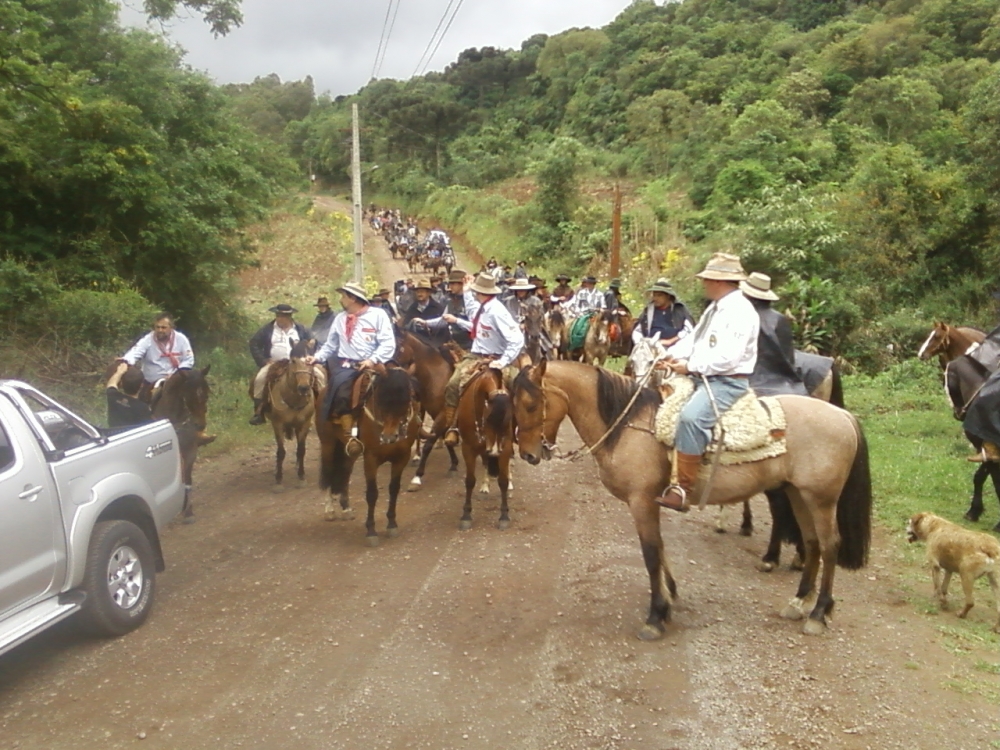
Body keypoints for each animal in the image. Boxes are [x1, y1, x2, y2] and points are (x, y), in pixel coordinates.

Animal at [151, 366, 212, 520]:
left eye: (206, 394)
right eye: (189, 396)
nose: (200, 425)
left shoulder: (190, 449)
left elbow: (187, 477)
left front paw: (188, 509)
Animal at [258, 342, 320, 494]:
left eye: (310, 361)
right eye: (293, 361)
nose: (303, 388)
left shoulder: (304, 424)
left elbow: (301, 450)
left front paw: (301, 477)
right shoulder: (277, 424)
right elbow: (281, 452)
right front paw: (278, 480)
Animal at [314, 366, 420, 548]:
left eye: (407, 399)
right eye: (380, 401)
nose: (389, 437)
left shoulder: (401, 457)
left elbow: (394, 489)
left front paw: (392, 524)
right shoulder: (371, 459)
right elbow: (372, 494)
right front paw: (371, 531)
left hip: (349, 452)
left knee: (345, 472)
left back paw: (346, 509)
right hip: (328, 444)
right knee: (328, 473)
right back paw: (330, 510)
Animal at [394, 330, 464, 488]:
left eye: (398, 348)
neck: (434, 376)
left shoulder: (443, 413)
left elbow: (429, 444)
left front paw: (417, 477)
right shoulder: (434, 412)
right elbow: (437, 436)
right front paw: (454, 464)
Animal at [512, 362, 872, 640]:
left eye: (531, 404)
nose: (528, 454)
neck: (630, 426)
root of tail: (843, 416)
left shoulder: (642, 501)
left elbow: (651, 554)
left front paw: (655, 616)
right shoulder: (651, 502)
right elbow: (660, 549)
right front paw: (670, 599)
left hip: (821, 498)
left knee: (830, 545)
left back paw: (819, 613)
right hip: (799, 493)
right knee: (812, 543)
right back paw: (798, 603)